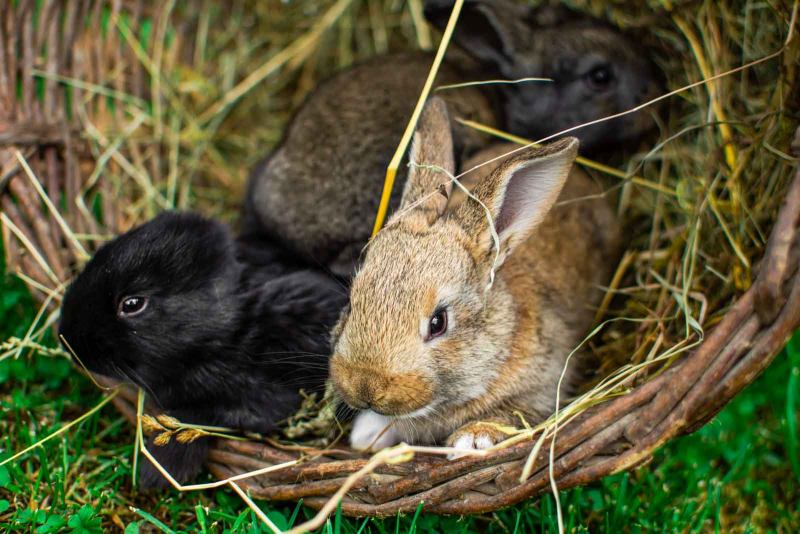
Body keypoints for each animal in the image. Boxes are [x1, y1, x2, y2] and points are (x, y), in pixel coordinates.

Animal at [328, 99, 620, 452]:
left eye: (438, 322)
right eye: (351, 302)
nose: (365, 387)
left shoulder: (546, 385)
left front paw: (472, 439)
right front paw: (367, 435)